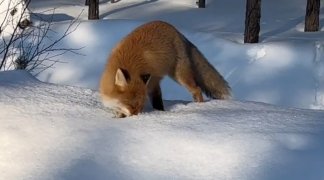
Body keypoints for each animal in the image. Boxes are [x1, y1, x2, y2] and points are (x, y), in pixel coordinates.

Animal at [100, 20, 229, 117]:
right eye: (131, 105)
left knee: (197, 89)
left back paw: (199, 107)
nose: (137, 117)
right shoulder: (152, 82)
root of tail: (176, 30)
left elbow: (157, 102)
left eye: (140, 106)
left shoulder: (153, 81)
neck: (129, 64)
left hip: (180, 76)